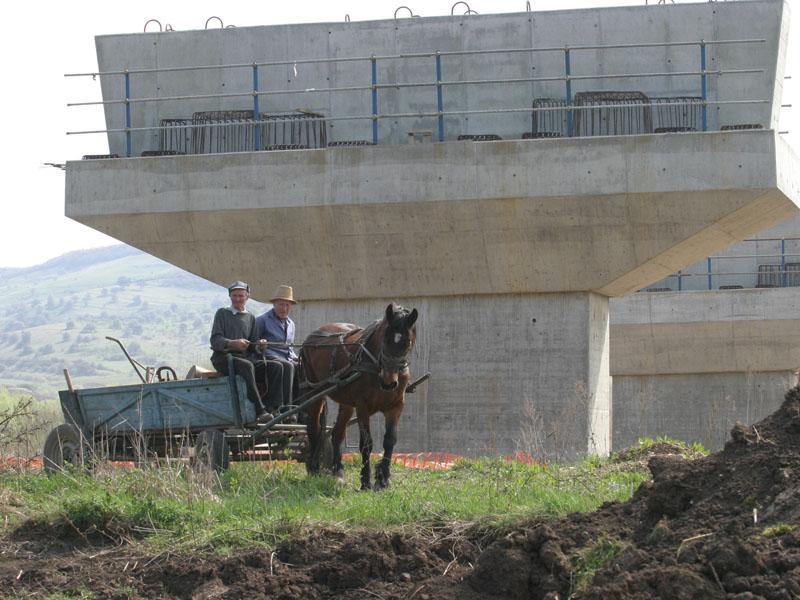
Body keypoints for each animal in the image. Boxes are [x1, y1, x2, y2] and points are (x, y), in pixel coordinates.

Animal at [298, 302, 418, 490]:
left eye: (407, 342)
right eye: (385, 339)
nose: (389, 383)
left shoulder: (396, 406)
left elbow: (390, 440)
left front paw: (383, 479)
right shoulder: (363, 406)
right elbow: (366, 444)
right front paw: (365, 481)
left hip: (346, 403)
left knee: (337, 434)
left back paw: (338, 472)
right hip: (315, 393)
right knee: (313, 429)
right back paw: (314, 468)